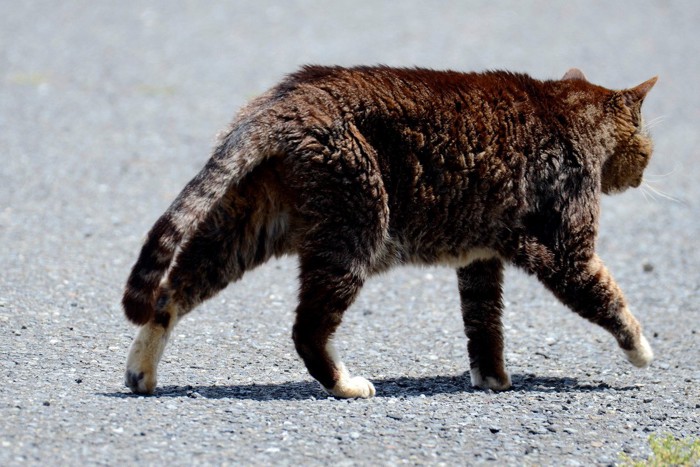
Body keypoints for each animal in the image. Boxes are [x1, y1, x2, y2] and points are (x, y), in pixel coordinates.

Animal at [121, 66, 656, 400]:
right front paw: (641, 348)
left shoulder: (480, 259)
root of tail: (288, 97)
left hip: (244, 229)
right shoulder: (566, 250)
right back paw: (345, 385)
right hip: (355, 233)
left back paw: (141, 372)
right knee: (307, 330)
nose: (643, 177)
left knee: (169, 294)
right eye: (648, 150)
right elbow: (609, 299)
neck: (566, 110)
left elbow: (484, 325)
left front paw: (493, 379)